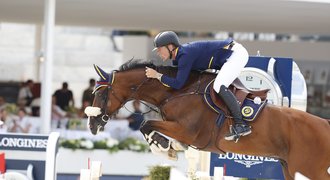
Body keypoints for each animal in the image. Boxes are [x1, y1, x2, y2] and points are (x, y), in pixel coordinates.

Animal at [85, 59, 330, 179]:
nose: (91, 125)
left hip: (308, 169)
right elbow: (151, 128)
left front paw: (163, 148)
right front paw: (170, 147)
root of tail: (325, 124)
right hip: (290, 169)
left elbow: (146, 125)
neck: (177, 91)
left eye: (101, 95)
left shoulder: (187, 131)